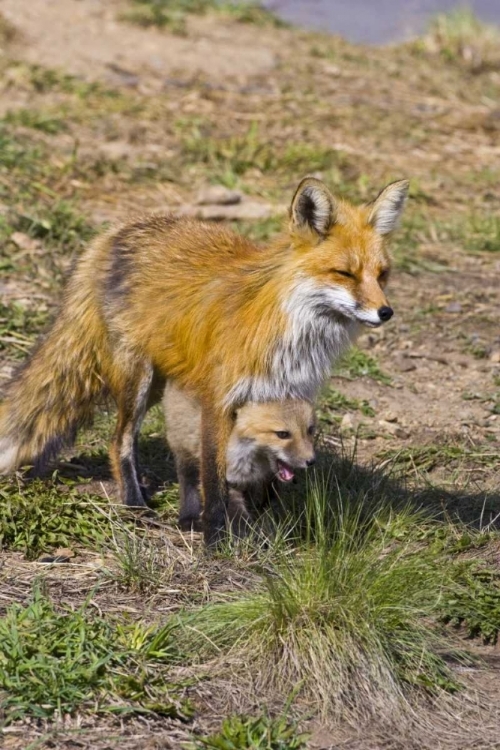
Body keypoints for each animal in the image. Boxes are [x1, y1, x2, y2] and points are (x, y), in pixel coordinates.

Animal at [0, 181, 408, 548]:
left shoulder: (282, 400)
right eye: (345, 273)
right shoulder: (219, 399)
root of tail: (112, 233)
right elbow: (215, 476)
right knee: (120, 442)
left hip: (160, 383)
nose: (385, 312)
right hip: (137, 382)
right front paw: (215, 535)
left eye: (382, 274)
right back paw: (135, 504)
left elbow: (269, 475)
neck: (291, 334)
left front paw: (263, 522)